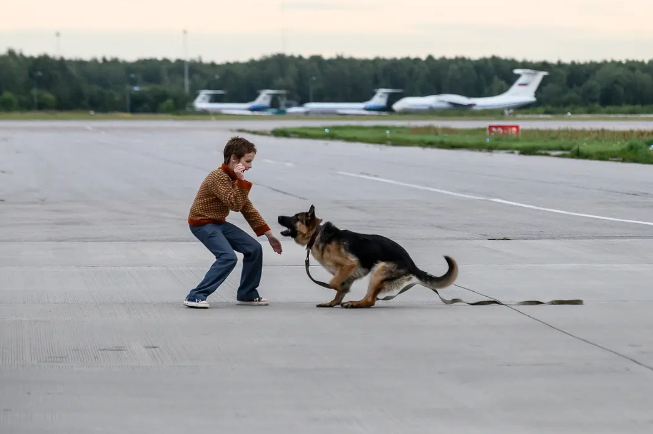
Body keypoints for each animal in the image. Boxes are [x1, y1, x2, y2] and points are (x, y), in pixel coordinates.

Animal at [278, 205, 456, 306]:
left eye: (295, 217)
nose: (279, 216)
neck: (317, 234)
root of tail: (411, 262)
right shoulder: (347, 273)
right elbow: (339, 289)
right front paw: (333, 302)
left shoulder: (349, 265)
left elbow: (333, 283)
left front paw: (339, 291)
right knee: (371, 299)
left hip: (379, 270)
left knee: (370, 301)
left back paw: (355, 303)